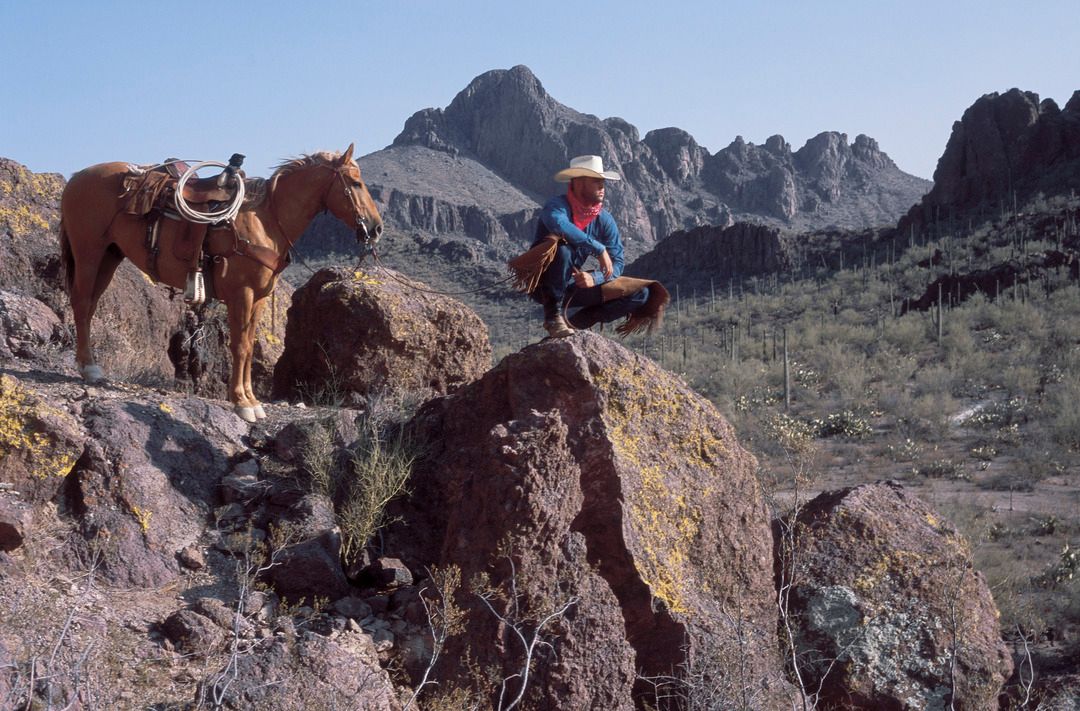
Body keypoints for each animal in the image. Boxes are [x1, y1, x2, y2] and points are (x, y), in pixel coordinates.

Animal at [59, 142, 382, 421]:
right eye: (355, 183)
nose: (376, 228)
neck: (266, 220)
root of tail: (76, 179)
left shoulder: (259, 298)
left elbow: (249, 346)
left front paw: (252, 399)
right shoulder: (242, 294)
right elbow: (239, 345)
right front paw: (241, 402)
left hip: (109, 257)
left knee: (89, 307)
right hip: (89, 254)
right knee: (81, 303)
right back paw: (89, 368)